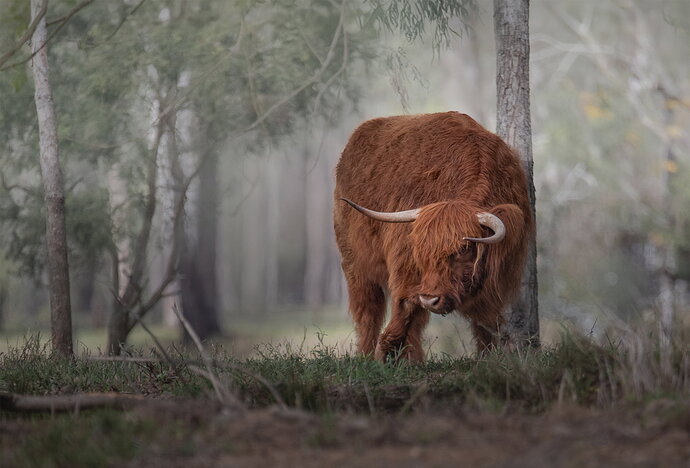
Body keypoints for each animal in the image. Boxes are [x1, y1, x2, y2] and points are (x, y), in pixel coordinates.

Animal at [333, 111, 532, 362]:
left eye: (463, 249)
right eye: (420, 250)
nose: (431, 299)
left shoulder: (497, 276)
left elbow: (485, 322)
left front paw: (487, 356)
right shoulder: (406, 268)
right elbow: (405, 306)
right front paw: (384, 351)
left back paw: (412, 359)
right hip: (355, 264)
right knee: (368, 311)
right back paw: (368, 355)